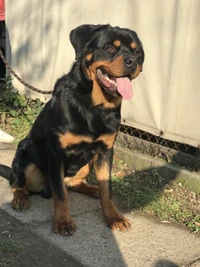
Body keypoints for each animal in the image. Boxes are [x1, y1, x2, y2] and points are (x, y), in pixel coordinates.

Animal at [0, 24, 145, 236]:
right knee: (19, 184)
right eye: (110, 48)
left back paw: (92, 189)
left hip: (88, 163)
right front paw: (63, 221)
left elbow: (107, 189)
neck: (94, 106)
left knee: (74, 184)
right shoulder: (56, 152)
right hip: (25, 158)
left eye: (136, 52)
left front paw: (113, 217)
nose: (132, 61)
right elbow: (60, 194)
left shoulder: (105, 152)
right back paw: (20, 198)